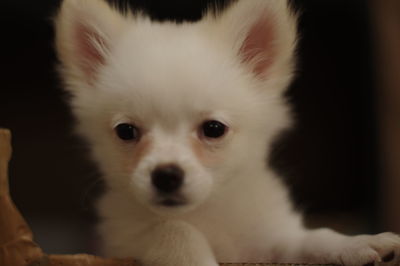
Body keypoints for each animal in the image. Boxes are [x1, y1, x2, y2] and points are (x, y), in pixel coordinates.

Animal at [55, 0, 400, 266]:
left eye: (213, 129)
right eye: (126, 132)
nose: (166, 175)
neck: (207, 211)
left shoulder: (270, 241)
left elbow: (311, 238)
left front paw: (355, 243)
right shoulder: (124, 238)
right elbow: (173, 228)